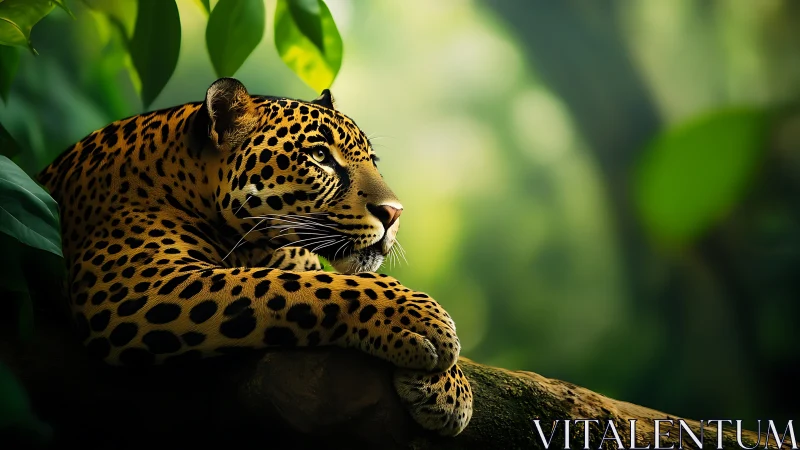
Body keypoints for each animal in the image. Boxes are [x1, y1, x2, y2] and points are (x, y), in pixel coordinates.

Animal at [36, 77, 473, 437]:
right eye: (320, 156)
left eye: (373, 161)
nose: (394, 213)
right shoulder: (136, 286)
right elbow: (300, 284)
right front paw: (421, 321)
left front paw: (449, 389)